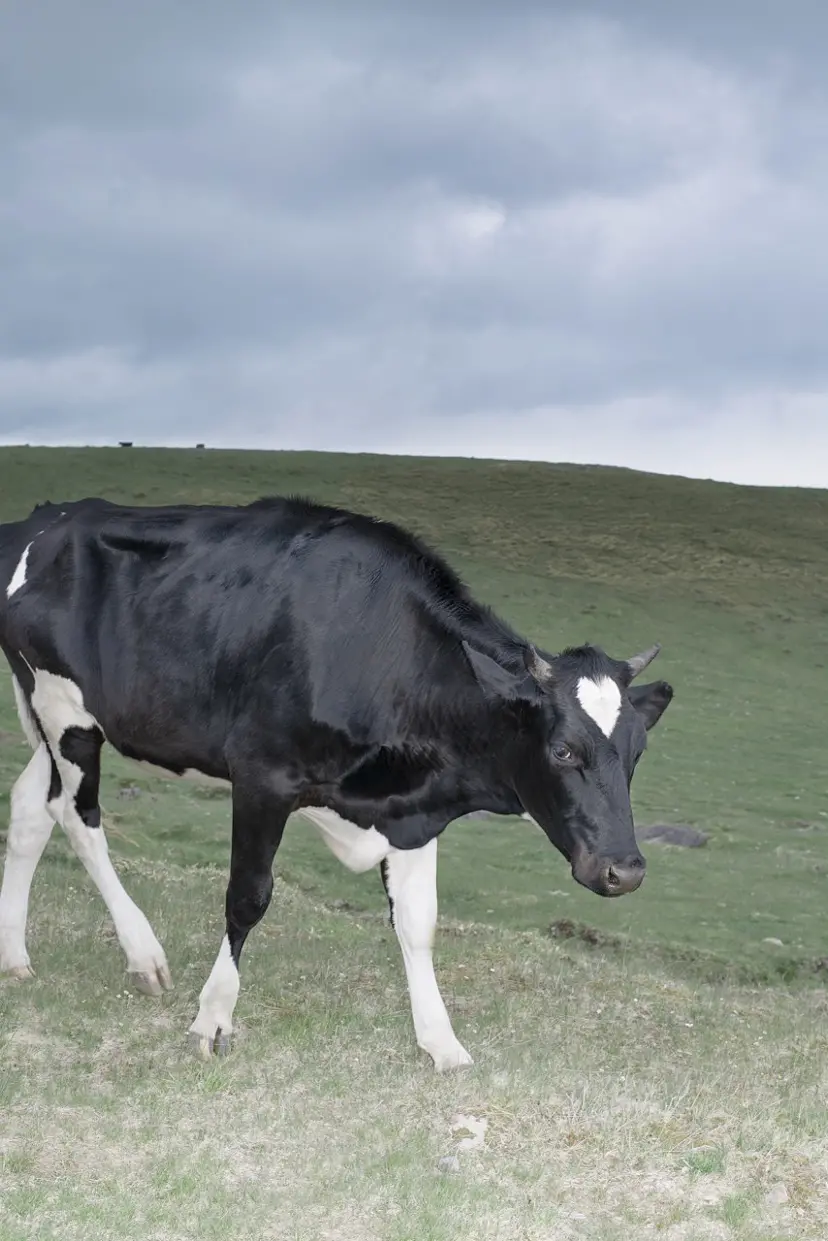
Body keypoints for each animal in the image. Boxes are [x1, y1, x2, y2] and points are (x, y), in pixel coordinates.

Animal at [0, 496, 673, 1071]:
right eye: (563, 749)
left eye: (636, 752)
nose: (626, 869)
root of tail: (48, 517)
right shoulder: (262, 774)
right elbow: (247, 898)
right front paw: (213, 1018)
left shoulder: (412, 812)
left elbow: (419, 922)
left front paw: (441, 1042)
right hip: (65, 709)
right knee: (76, 816)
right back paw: (143, 955)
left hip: (56, 713)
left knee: (33, 807)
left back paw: (15, 957)